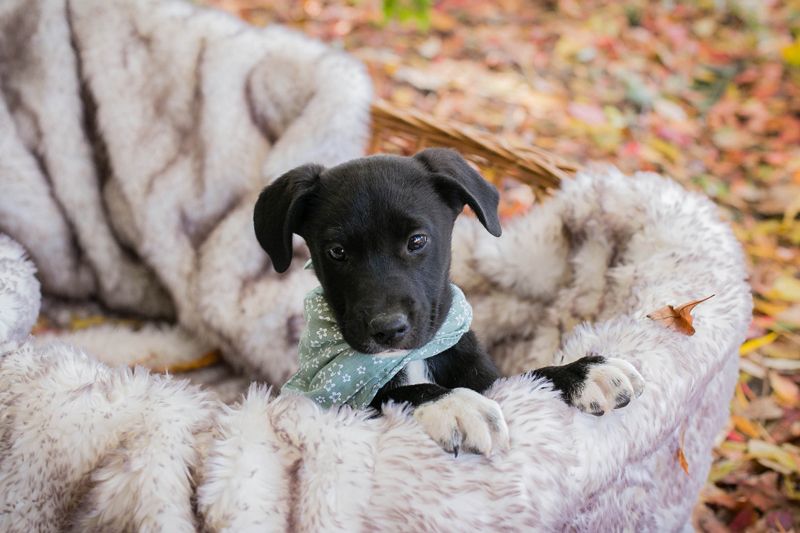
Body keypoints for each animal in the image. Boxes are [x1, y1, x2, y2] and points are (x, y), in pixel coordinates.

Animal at [253, 148, 644, 456]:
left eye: (417, 240)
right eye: (337, 252)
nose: (387, 329)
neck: (408, 358)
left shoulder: (489, 378)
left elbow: (528, 377)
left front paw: (582, 371)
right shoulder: (341, 409)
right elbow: (402, 391)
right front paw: (455, 403)